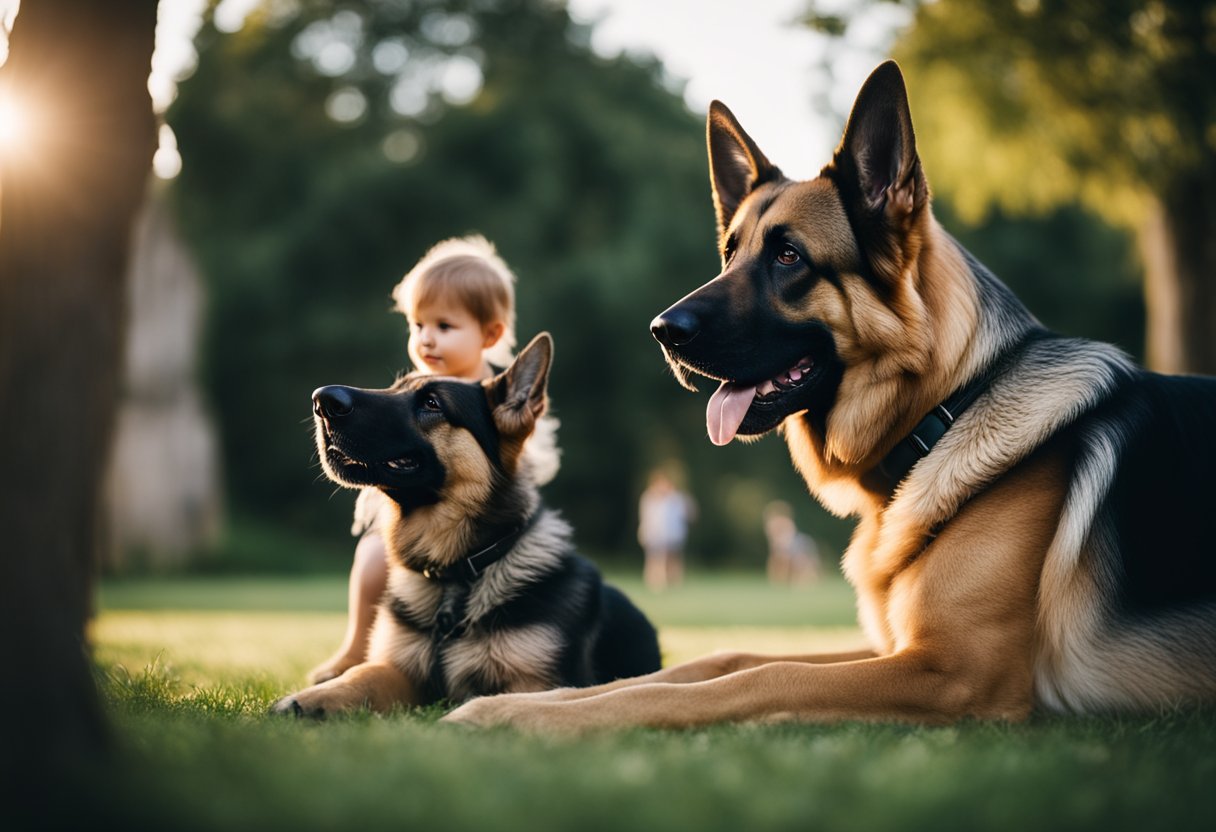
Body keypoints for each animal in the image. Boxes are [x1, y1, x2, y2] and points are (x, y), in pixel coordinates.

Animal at [272, 335, 661, 720]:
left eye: (432, 403)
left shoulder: (536, 683)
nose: (322, 400)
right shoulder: (401, 670)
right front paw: (308, 698)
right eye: (394, 387)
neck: (456, 576)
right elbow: (363, 674)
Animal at [445, 61, 1216, 729]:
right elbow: (718, 657)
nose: (662, 332)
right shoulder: (895, 649)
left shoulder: (952, 670)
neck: (948, 413)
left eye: (789, 257)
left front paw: (519, 717)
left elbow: (763, 675)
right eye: (729, 253)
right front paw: (541, 699)